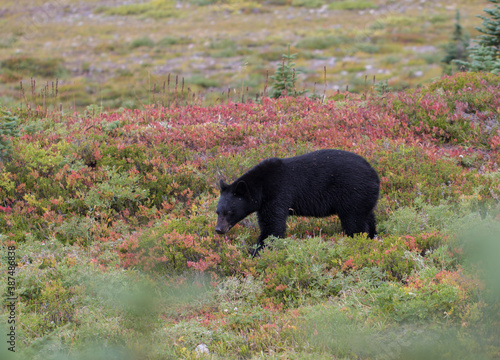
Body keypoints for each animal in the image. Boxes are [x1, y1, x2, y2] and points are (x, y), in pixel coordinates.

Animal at [215, 149, 378, 256]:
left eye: (229, 212)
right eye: (217, 212)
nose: (218, 229)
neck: (261, 186)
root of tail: (374, 174)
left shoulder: (278, 193)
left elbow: (272, 226)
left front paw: (258, 251)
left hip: (353, 193)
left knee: (354, 223)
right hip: (365, 198)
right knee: (369, 218)